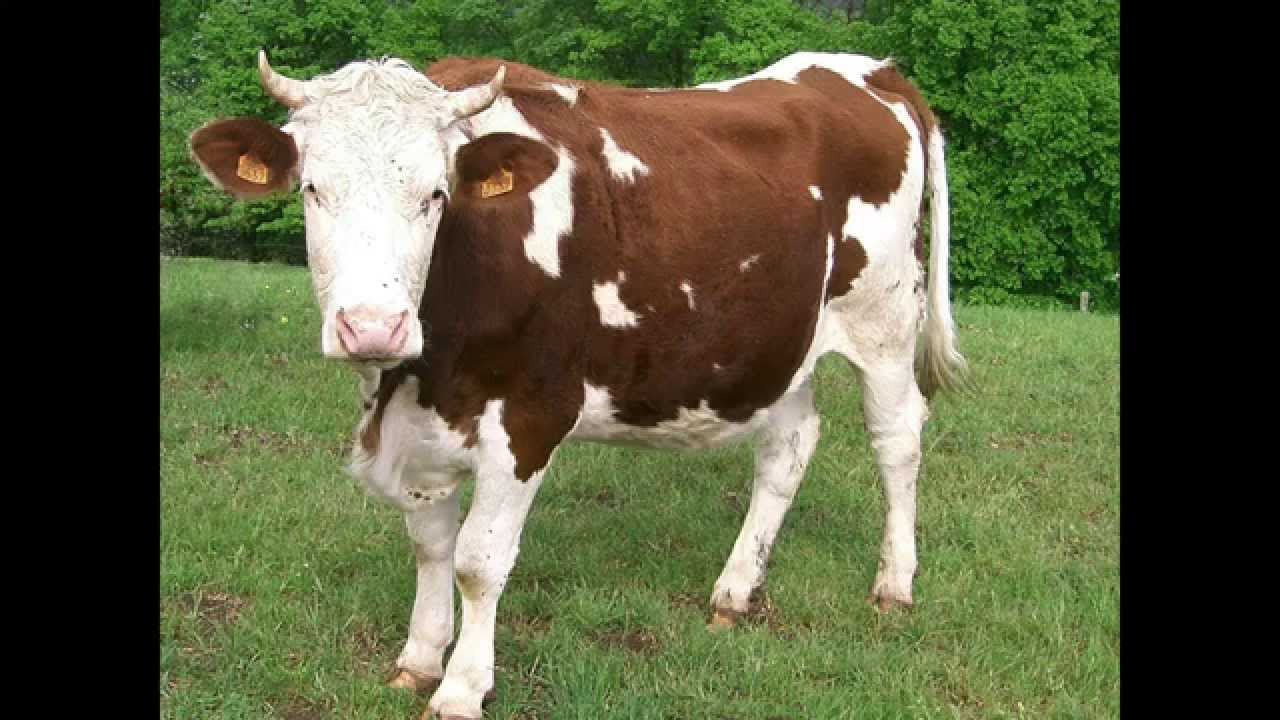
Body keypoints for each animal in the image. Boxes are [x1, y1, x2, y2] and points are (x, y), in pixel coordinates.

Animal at [189, 49, 968, 720]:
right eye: (313, 190)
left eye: (435, 194)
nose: (373, 327)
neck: (419, 371)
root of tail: (870, 69)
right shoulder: (425, 421)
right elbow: (432, 545)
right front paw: (419, 659)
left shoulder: (531, 413)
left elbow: (478, 560)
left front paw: (461, 689)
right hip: (774, 345)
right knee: (790, 448)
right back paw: (735, 592)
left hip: (884, 320)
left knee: (897, 440)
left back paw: (894, 584)